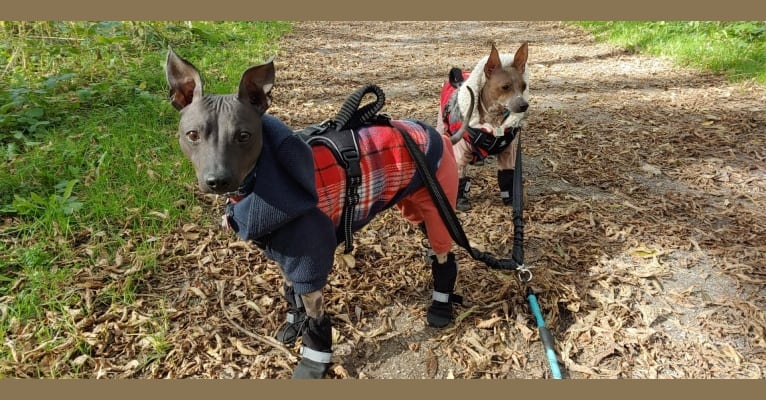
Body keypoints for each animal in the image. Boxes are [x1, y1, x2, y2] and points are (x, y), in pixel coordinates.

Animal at [438, 43, 528, 212]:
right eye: (505, 87)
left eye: (524, 86)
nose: (524, 105)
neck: (494, 122)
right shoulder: (460, 154)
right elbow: (460, 176)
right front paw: (460, 200)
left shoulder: (508, 154)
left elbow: (507, 177)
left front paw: (511, 198)